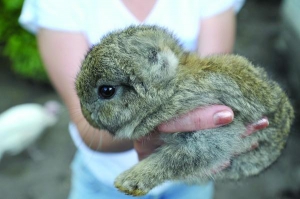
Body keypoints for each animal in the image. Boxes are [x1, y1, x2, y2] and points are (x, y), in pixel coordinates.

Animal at [75, 24, 296, 196]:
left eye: (106, 91)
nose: (85, 115)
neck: (172, 89)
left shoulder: (215, 127)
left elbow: (174, 159)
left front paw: (128, 182)